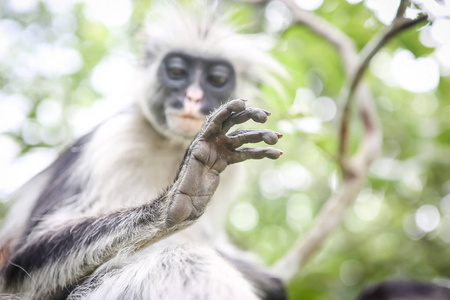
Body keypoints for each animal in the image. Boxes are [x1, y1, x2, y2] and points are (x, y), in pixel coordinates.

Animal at [0, 2, 286, 300]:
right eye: (177, 72)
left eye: (217, 78)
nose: (193, 97)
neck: (171, 144)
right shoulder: (113, 140)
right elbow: (21, 266)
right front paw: (181, 195)